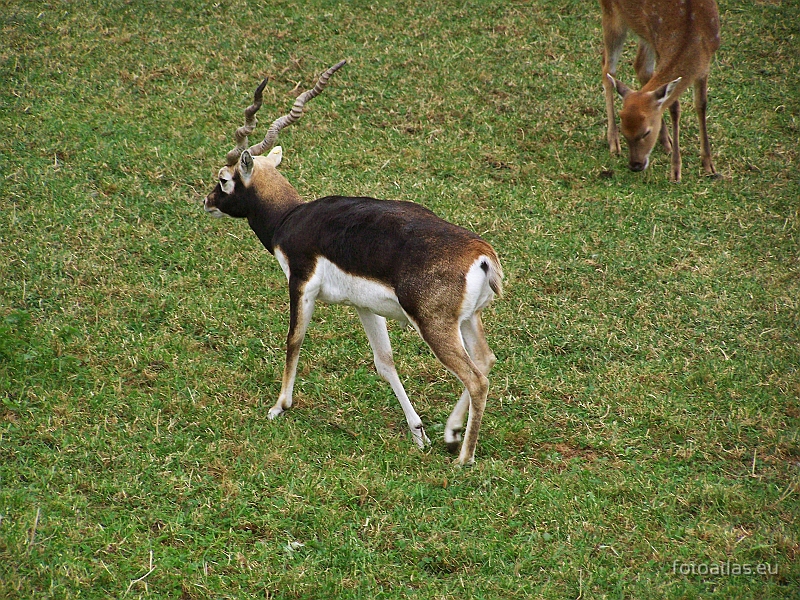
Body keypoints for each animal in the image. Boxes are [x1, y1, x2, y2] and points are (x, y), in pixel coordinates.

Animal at [203, 62, 504, 464]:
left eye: (224, 179)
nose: (207, 201)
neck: (290, 218)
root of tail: (482, 256)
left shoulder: (301, 283)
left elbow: (294, 339)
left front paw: (279, 406)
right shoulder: (364, 306)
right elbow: (384, 362)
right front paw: (418, 432)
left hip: (434, 325)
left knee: (476, 378)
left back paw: (463, 457)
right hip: (468, 319)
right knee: (485, 361)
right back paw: (451, 432)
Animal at [600, 0, 724, 182]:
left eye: (646, 132)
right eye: (624, 132)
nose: (635, 165)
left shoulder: (705, 66)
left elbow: (701, 105)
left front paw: (708, 164)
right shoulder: (660, 47)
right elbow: (675, 107)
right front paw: (676, 171)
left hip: (644, 33)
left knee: (639, 66)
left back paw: (666, 141)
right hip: (611, 13)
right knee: (608, 69)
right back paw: (613, 142)